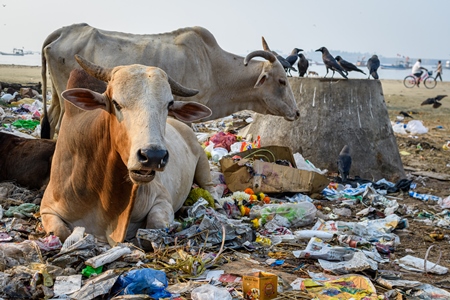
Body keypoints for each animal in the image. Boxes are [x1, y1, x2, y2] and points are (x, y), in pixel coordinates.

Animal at [39, 55, 215, 246]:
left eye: (169, 104)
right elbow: (60, 232)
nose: (153, 156)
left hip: (203, 164)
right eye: (116, 103)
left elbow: (155, 225)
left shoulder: (162, 199)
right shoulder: (47, 208)